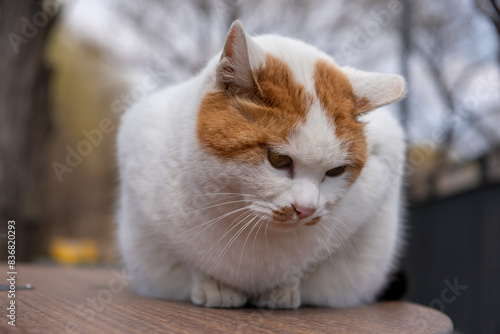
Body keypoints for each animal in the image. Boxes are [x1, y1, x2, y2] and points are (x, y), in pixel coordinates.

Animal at [117, 20, 406, 308]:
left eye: (336, 171)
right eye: (278, 158)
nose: (306, 209)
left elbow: (304, 266)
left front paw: (282, 291)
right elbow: (192, 259)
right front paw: (215, 287)